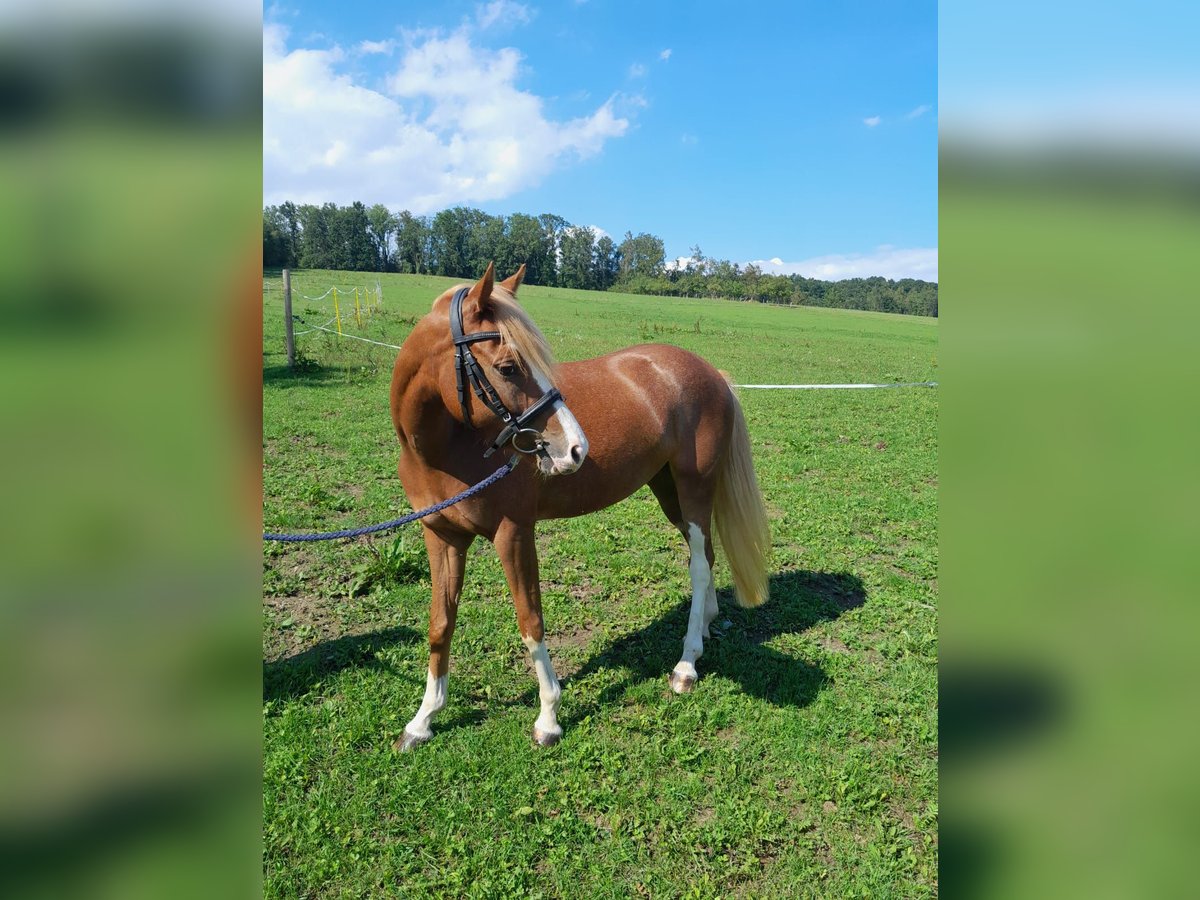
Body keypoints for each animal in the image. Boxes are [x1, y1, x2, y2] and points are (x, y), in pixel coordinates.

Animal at [388, 264, 772, 748]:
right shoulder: (442, 536)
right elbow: (441, 624)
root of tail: (712, 373)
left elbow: (531, 622)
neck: (446, 448)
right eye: (508, 367)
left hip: (695, 489)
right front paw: (423, 720)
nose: (575, 449)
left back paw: (687, 664)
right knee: (703, 558)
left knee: (701, 566)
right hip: (669, 492)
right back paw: (704, 624)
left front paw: (548, 717)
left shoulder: (514, 534)